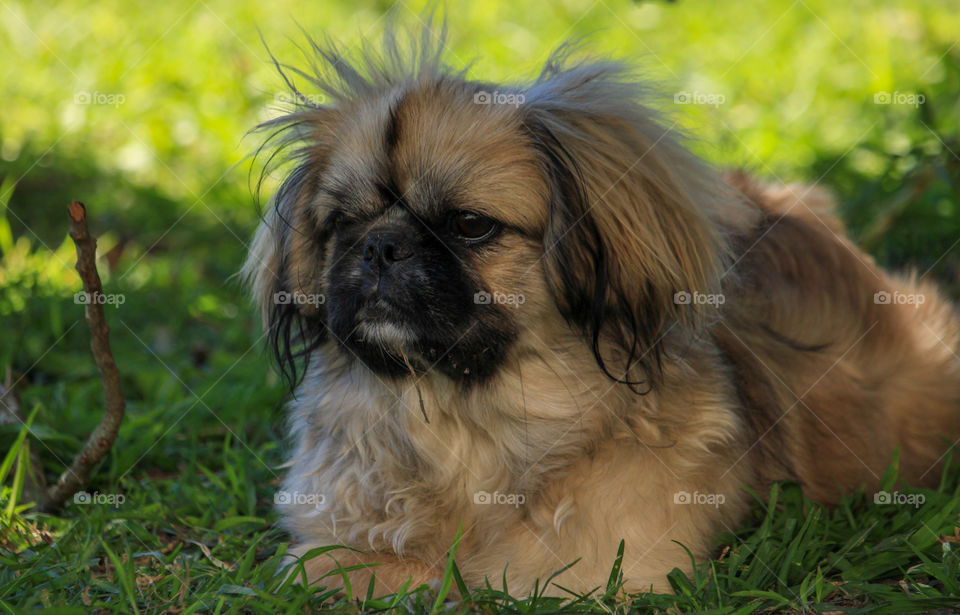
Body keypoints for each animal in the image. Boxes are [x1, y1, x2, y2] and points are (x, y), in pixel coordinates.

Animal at [242, 26, 960, 600]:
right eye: (343, 223)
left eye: (470, 225)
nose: (379, 245)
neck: (463, 426)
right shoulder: (324, 552)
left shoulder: (600, 577)